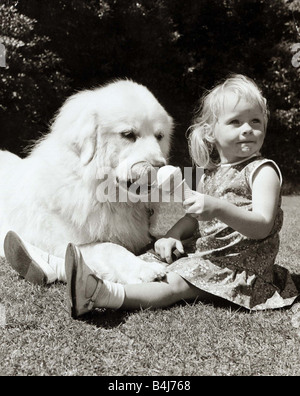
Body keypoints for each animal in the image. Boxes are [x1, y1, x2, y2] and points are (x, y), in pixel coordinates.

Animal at [0, 80, 173, 284]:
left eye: (159, 136)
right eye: (128, 134)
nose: (161, 166)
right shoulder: (66, 244)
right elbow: (110, 248)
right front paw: (144, 268)